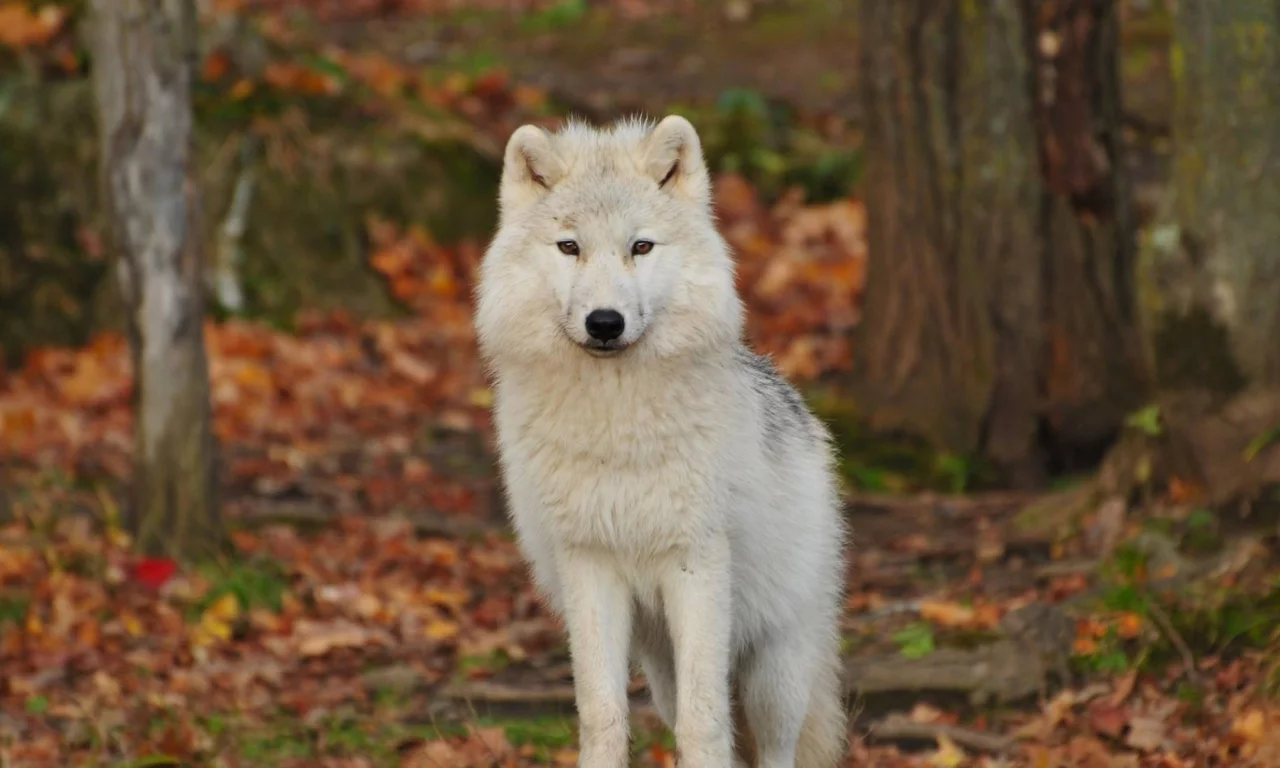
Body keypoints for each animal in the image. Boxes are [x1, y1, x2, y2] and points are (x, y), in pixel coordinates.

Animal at [471, 113, 849, 768]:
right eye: (569, 247)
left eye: (640, 247)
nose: (604, 322)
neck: (616, 426)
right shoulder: (589, 565)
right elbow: (602, 716)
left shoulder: (695, 563)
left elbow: (704, 725)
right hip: (661, 663)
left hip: (774, 671)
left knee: (774, 746)